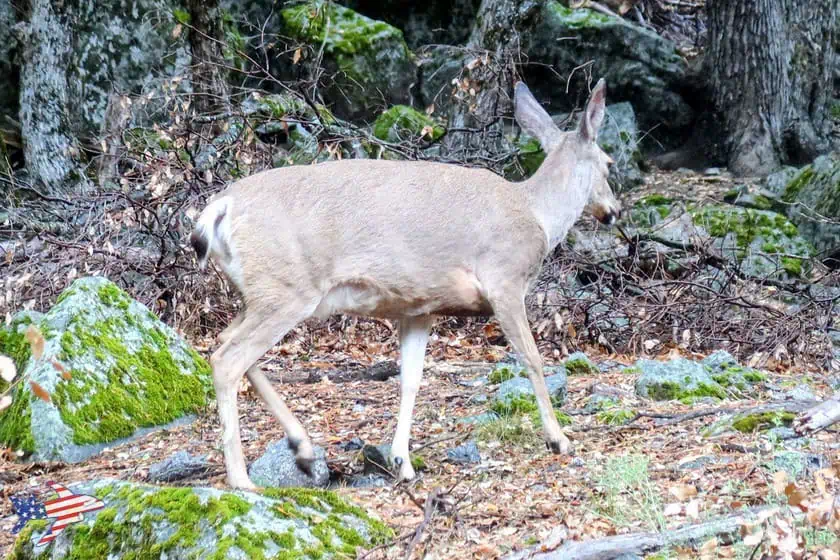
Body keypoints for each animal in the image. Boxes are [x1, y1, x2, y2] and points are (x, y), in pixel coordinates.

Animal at [190, 79, 621, 490]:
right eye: (609, 163)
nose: (613, 211)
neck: (537, 215)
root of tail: (219, 208)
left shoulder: (419, 307)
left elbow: (410, 379)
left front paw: (402, 461)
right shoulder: (505, 280)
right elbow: (532, 358)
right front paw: (559, 438)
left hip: (260, 292)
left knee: (223, 342)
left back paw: (304, 450)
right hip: (287, 288)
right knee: (228, 359)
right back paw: (242, 478)